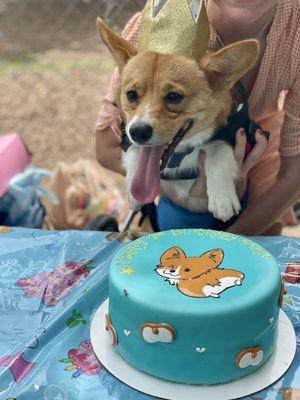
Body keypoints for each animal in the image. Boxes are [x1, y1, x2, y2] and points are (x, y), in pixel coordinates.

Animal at [97, 19, 258, 222]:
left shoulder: (233, 138)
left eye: (174, 97)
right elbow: (134, 152)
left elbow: (220, 152)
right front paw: (133, 187)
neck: (180, 154)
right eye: (131, 95)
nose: (138, 132)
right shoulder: (126, 137)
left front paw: (223, 199)